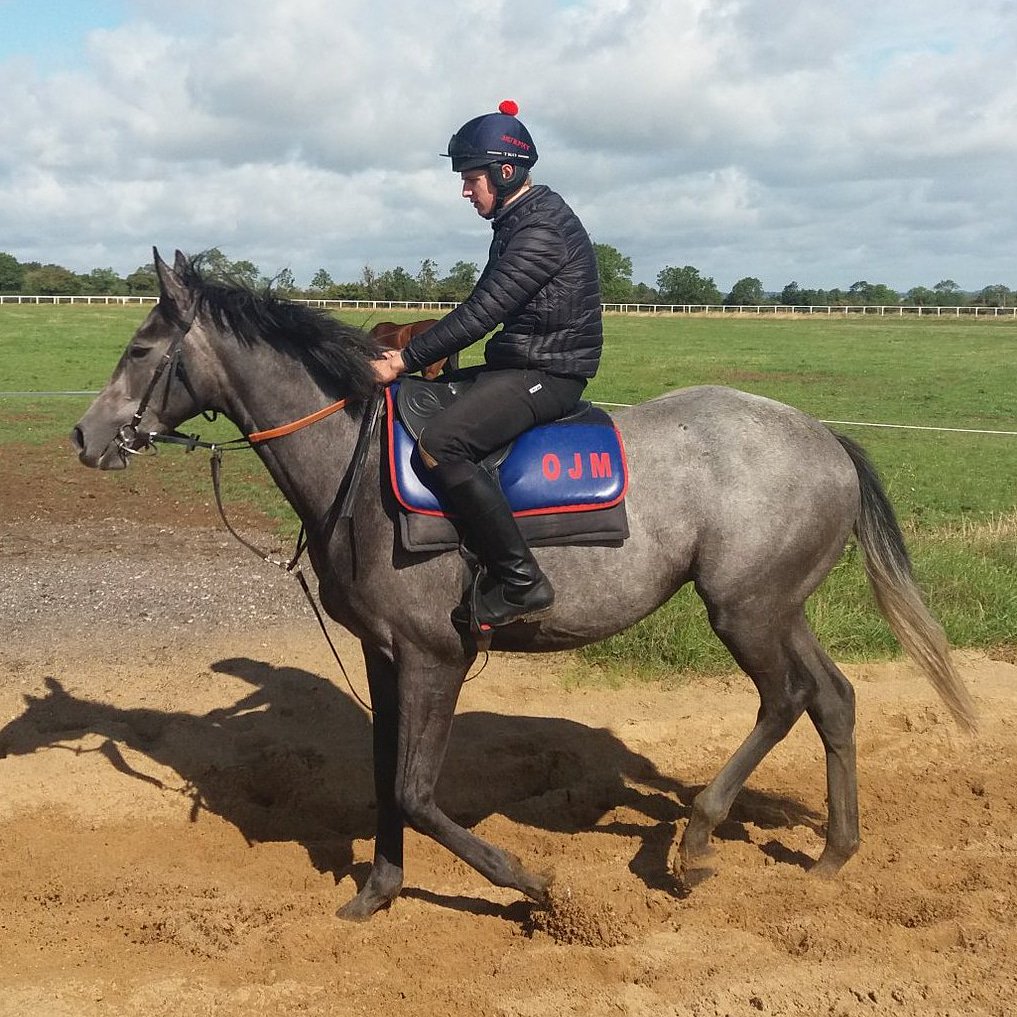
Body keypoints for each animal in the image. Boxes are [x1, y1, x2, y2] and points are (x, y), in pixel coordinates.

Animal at [70, 249, 977, 921]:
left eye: (141, 350)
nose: (85, 434)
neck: (355, 461)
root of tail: (822, 437)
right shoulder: (383, 656)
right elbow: (383, 777)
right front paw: (378, 891)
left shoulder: (436, 656)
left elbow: (416, 789)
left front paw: (533, 883)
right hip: (778, 607)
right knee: (832, 698)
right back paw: (832, 853)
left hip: (744, 611)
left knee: (784, 699)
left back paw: (695, 842)